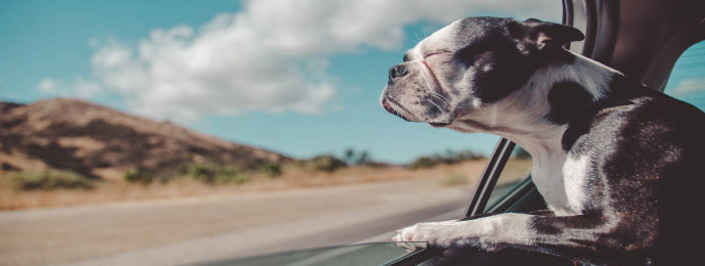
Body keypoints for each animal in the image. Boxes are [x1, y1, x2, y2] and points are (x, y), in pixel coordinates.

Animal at [380, 17, 704, 264]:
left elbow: (506, 220)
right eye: (406, 59)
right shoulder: (559, 211)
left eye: (437, 54)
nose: (393, 70)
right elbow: (485, 216)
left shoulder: (627, 230)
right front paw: (429, 229)